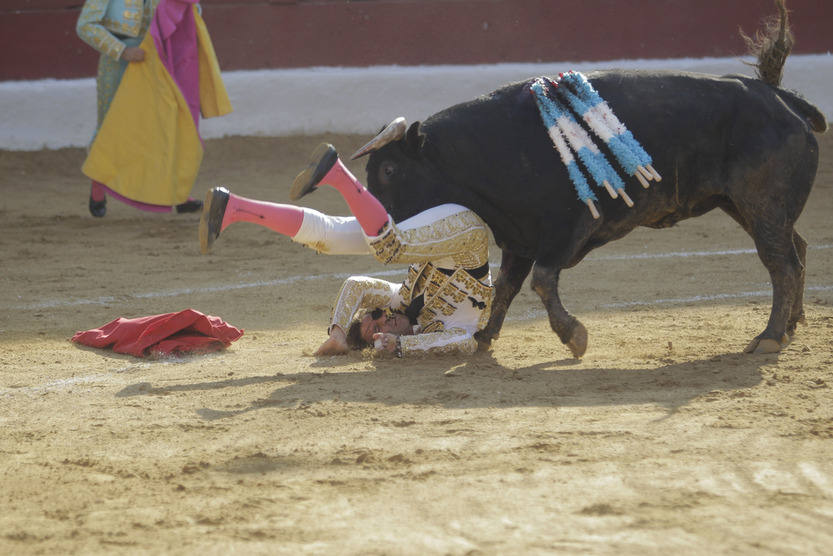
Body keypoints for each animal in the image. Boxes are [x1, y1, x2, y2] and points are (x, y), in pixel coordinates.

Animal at [358, 70, 824, 356]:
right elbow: (507, 286)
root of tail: (782, 98)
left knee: (781, 264)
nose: (383, 231)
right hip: (748, 207)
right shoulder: (519, 237)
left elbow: (542, 280)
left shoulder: (568, 227)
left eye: (389, 169)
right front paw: (486, 335)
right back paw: (791, 325)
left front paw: (574, 336)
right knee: (797, 250)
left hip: (760, 205)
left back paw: (768, 337)